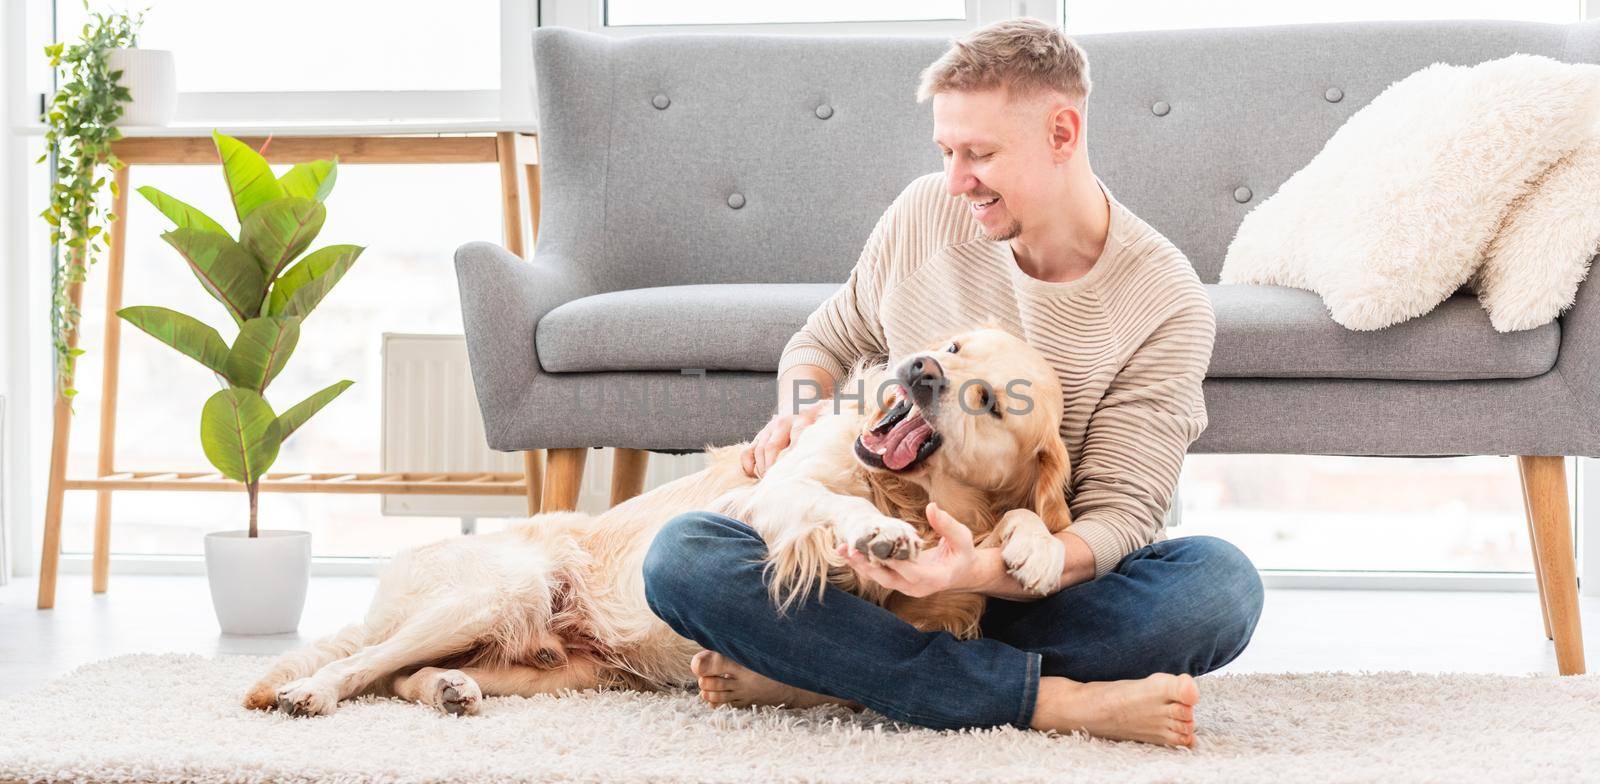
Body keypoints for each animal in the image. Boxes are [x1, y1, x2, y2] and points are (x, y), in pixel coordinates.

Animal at [243, 324, 1075, 716]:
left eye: (989, 401)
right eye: (952, 345)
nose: (922, 369)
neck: (910, 489)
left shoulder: (943, 603)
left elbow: (1023, 524)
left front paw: (1034, 546)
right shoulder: (768, 498)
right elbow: (832, 504)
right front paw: (877, 531)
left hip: (561, 668)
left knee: (403, 674)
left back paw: (451, 689)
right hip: (496, 590)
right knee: (363, 663)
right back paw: (310, 693)